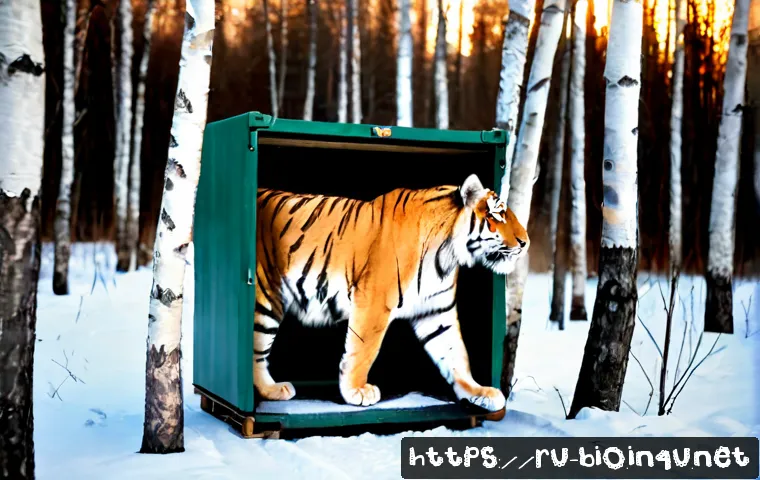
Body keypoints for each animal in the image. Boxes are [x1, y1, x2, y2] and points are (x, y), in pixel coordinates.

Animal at [253, 173, 530, 412]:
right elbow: (363, 349)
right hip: (265, 296)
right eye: (499, 214)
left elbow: (456, 354)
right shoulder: (374, 302)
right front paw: (356, 391)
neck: (446, 256)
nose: (525, 242)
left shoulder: (437, 311)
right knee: (256, 348)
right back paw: (272, 390)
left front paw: (478, 391)